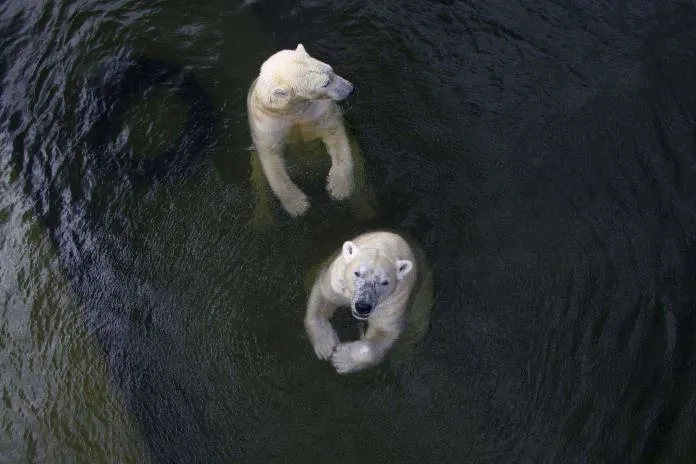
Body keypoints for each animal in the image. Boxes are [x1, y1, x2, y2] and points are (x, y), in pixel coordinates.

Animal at [247, 44, 358, 217]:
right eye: (325, 83)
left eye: (331, 70)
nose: (350, 88)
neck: (294, 110)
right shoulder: (267, 125)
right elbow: (271, 159)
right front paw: (297, 204)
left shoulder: (319, 111)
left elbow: (335, 136)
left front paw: (339, 187)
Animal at [304, 231, 418, 374]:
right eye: (357, 273)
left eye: (385, 282)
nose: (362, 307)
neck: (385, 244)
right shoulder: (336, 280)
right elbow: (323, 298)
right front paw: (325, 346)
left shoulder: (394, 301)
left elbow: (383, 331)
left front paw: (341, 358)